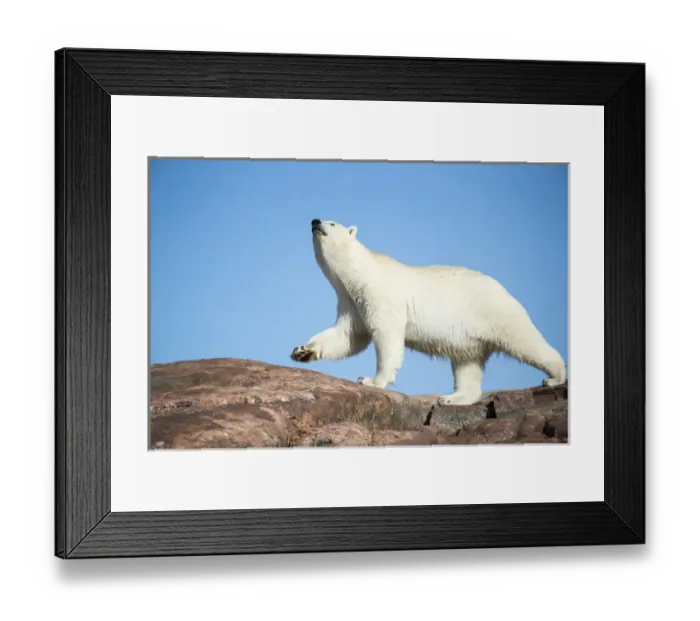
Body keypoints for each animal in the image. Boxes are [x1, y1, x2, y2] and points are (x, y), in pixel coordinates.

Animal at [291, 219, 567, 406]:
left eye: (332, 222)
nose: (315, 221)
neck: (362, 274)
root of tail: (503, 289)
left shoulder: (380, 297)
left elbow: (386, 337)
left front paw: (372, 380)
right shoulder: (351, 303)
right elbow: (348, 336)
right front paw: (303, 351)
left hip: (495, 312)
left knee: (526, 341)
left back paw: (555, 377)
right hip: (469, 335)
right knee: (467, 362)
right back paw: (453, 397)